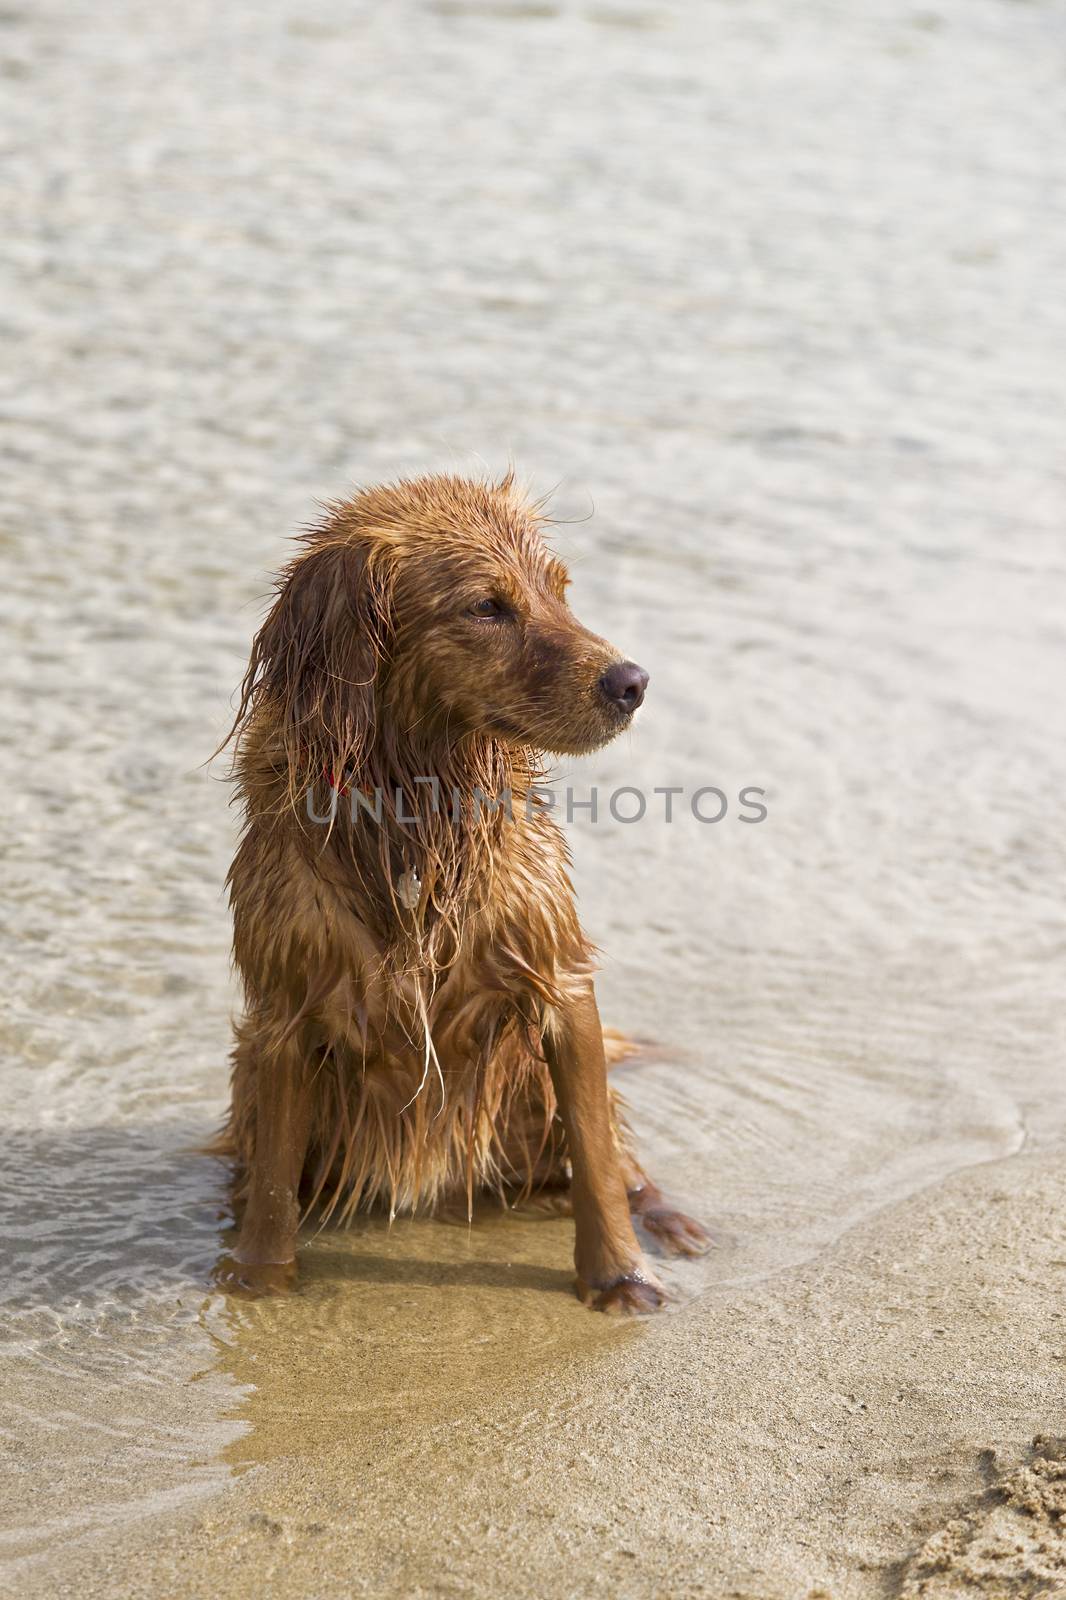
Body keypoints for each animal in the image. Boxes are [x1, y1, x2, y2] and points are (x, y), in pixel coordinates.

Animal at [216, 467, 704, 1312]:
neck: (416, 808)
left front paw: (620, 1275)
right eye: (486, 606)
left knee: (620, 1161)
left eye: (559, 591)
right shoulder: (283, 1011)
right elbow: (275, 1187)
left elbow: (598, 1162)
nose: (632, 682)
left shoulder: (560, 979)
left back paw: (670, 1221)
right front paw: (258, 1280)